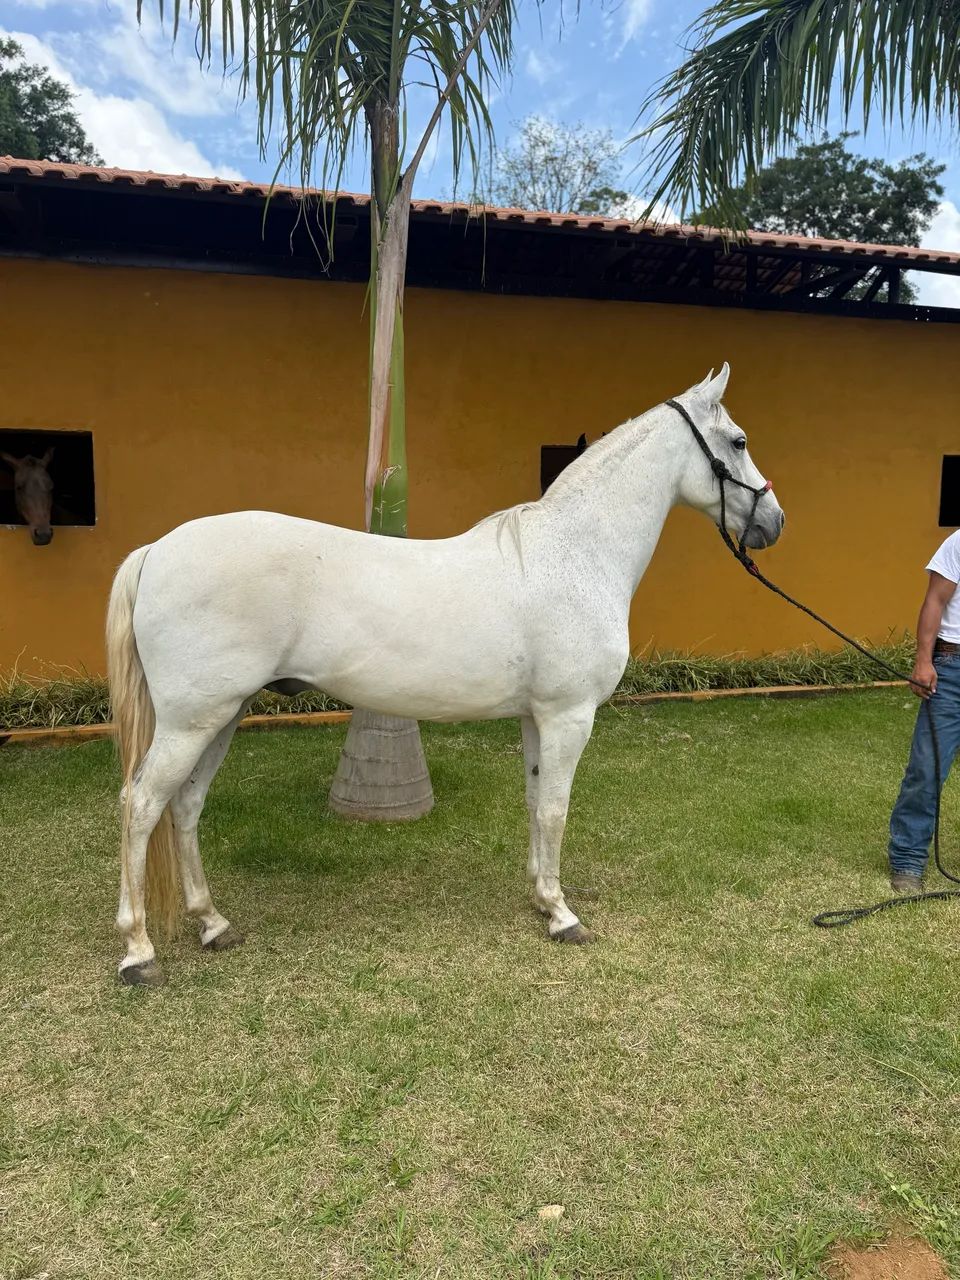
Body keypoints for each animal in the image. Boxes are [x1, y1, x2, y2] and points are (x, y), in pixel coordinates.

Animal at [106, 364, 785, 986]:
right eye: (739, 440)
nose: (773, 523)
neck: (574, 554)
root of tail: (158, 550)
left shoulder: (537, 718)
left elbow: (535, 801)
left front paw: (541, 900)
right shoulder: (568, 716)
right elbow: (555, 809)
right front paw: (564, 916)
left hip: (221, 716)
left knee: (186, 804)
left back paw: (212, 923)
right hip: (193, 721)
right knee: (142, 804)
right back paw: (139, 953)